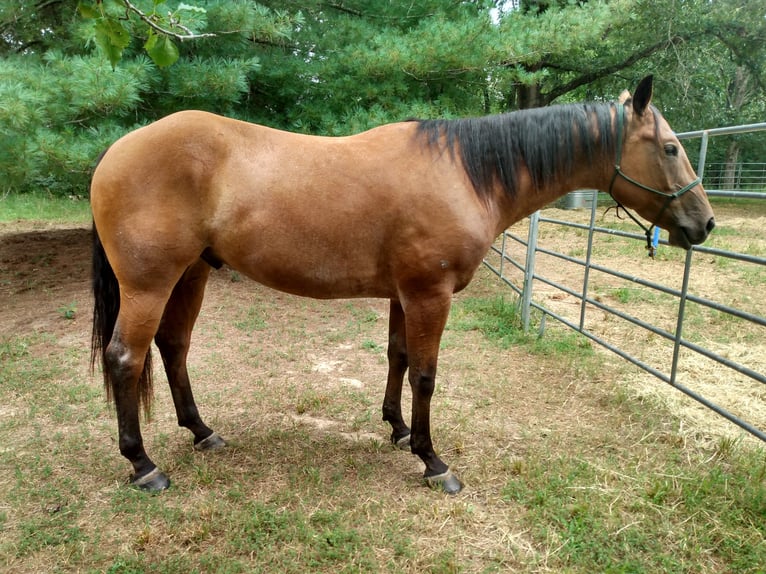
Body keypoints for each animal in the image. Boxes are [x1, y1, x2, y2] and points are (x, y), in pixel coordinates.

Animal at [90, 75, 715, 494]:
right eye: (670, 148)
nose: (704, 224)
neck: (465, 173)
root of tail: (116, 151)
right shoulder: (428, 296)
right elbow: (425, 375)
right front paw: (432, 458)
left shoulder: (402, 295)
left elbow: (396, 358)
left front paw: (395, 428)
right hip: (149, 284)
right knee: (126, 358)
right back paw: (143, 464)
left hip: (191, 275)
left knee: (173, 348)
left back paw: (202, 431)